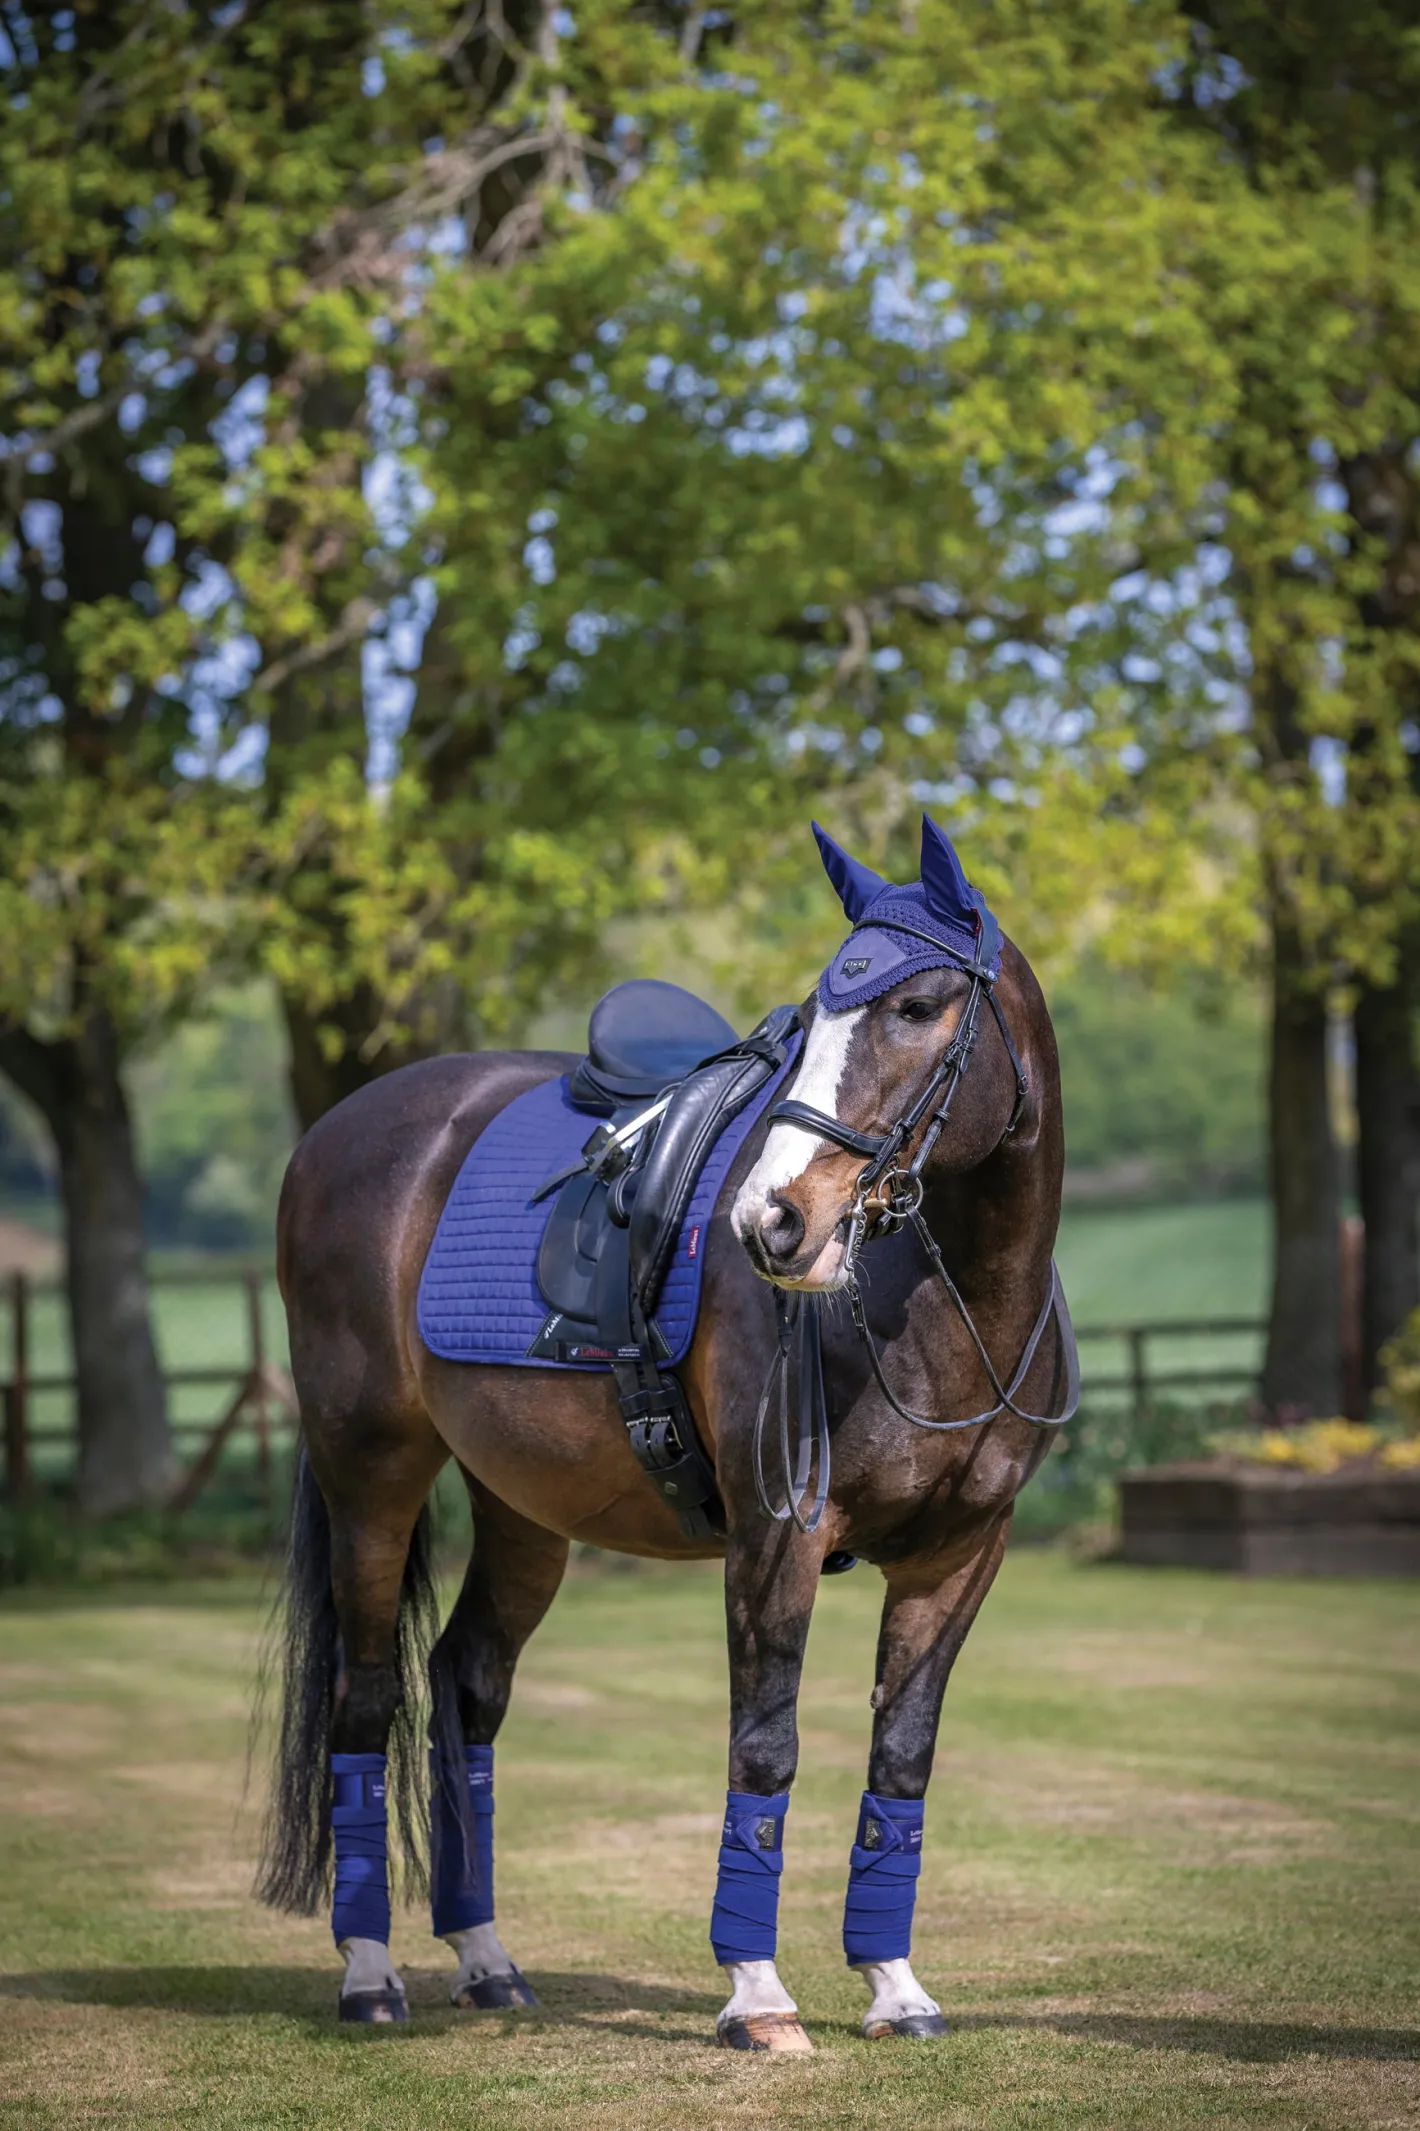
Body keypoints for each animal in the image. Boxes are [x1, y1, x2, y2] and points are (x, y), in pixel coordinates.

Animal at [256, 813, 1075, 2053]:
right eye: (815, 1017)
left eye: (918, 1006)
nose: (773, 1221)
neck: (948, 1307)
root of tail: (337, 1134)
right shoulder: (776, 1536)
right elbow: (765, 1747)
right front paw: (758, 1993)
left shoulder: (959, 1554)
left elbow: (901, 1758)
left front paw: (893, 1985)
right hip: (371, 1475)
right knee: (366, 1696)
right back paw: (368, 1973)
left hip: (523, 1508)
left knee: (466, 1684)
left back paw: (486, 1957)